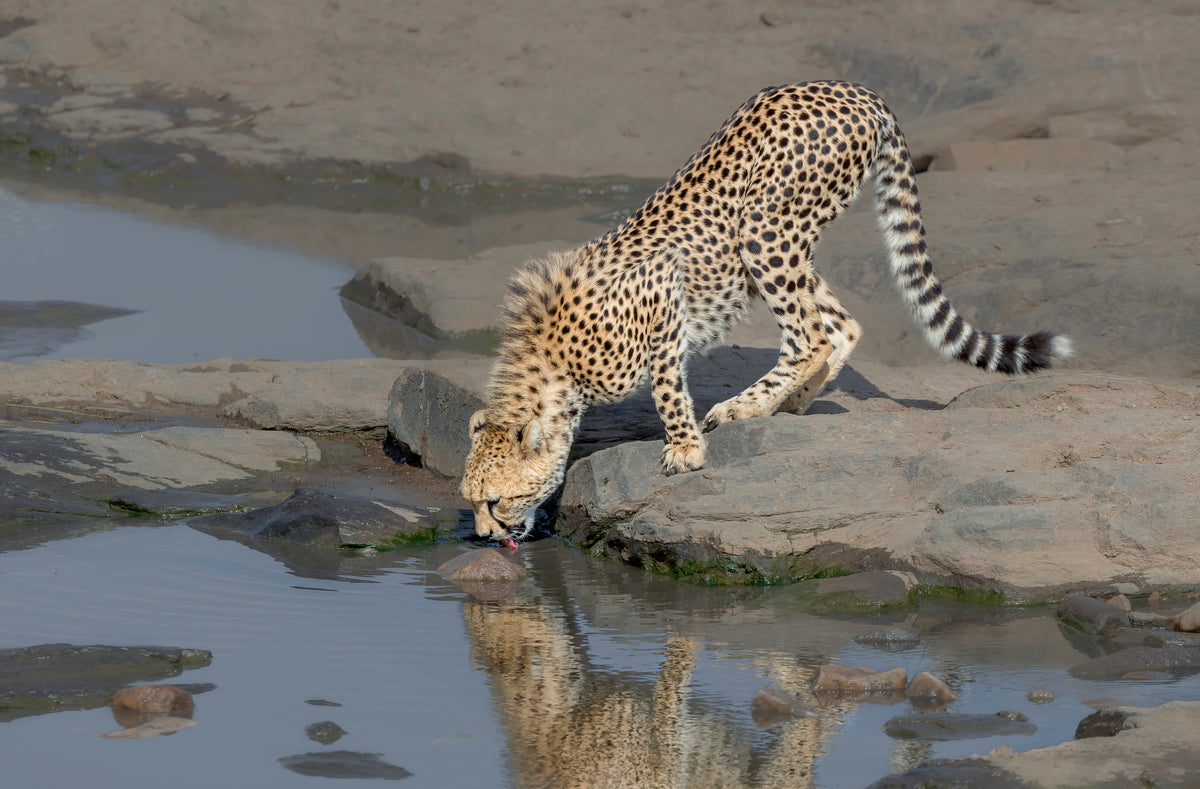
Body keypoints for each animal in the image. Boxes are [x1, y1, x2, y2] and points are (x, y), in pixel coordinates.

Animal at [461, 80, 1073, 545]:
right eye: (469, 502)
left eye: (495, 500)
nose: (487, 537)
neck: (555, 368)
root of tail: (855, 88)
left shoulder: (662, 296)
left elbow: (667, 388)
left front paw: (684, 450)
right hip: (782, 244)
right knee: (840, 325)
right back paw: (787, 404)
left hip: (763, 226)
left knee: (811, 336)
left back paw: (744, 406)